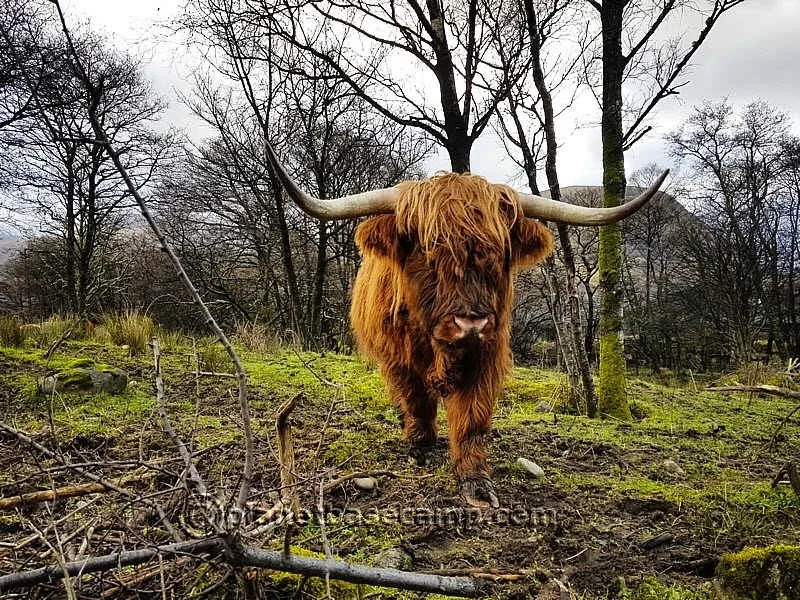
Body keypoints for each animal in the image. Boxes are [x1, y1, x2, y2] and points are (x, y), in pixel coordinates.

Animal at [265, 143, 667, 507]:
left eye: (499, 252)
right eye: (428, 250)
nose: (470, 322)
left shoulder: (486, 353)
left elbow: (472, 418)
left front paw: (476, 482)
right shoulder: (399, 359)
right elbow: (417, 399)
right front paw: (422, 445)